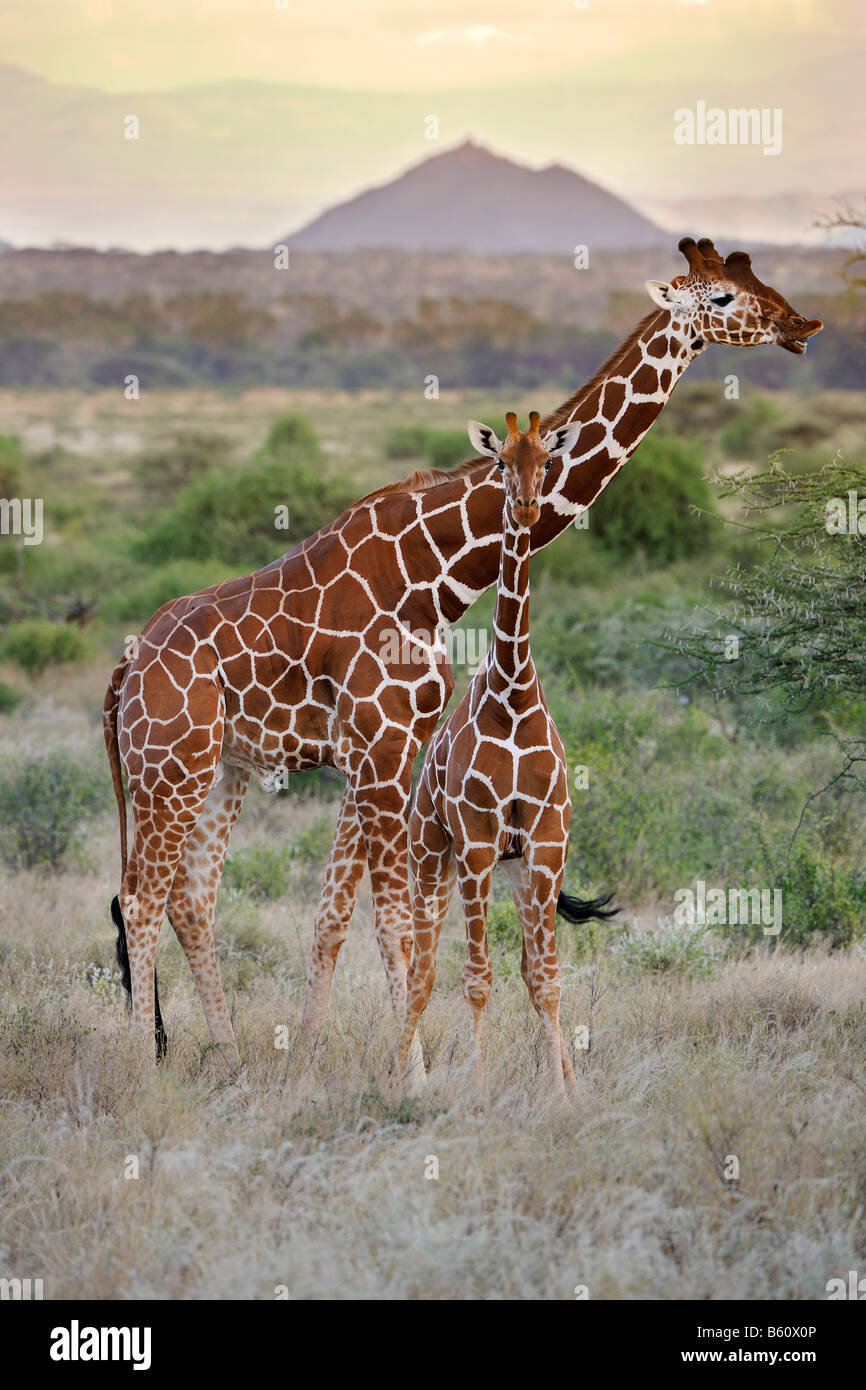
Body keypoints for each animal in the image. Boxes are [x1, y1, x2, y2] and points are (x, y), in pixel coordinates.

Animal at [397, 411, 619, 1095]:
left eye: (547, 460)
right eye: (499, 463)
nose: (524, 506)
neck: (513, 694)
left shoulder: (545, 845)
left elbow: (542, 978)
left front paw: (565, 1094)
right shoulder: (475, 843)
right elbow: (476, 976)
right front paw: (475, 1083)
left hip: (519, 869)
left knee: (520, 966)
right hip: (429, 855)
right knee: (420, 967)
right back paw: (395, 1074)